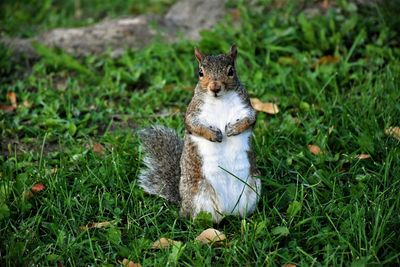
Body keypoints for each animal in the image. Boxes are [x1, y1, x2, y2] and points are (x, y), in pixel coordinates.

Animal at [139, 45, 260, 223]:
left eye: (231, 71)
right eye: (200, 72)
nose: (215, 88)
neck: (219, 100)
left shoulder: (246, 107)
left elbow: (250, 119)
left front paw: (234, 129)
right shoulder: (193, 112)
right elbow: (194, 126)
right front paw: (214, 135)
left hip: (253, 188)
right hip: (200, 198)